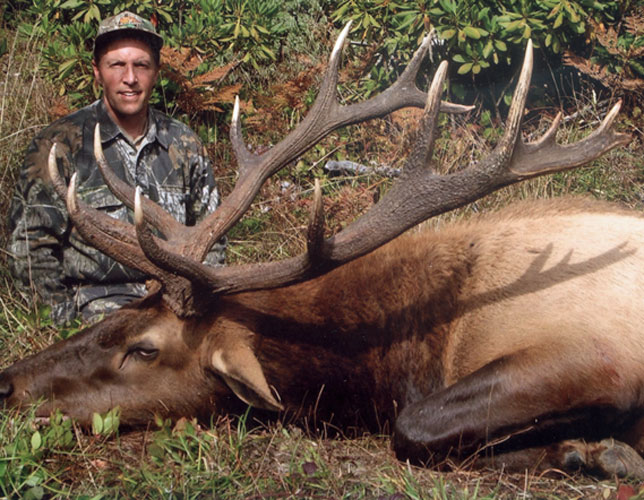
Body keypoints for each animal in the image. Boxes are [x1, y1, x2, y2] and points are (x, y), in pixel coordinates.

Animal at [0, 25, 636, 478]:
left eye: (145, 349)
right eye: (126, 310)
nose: (6, 383)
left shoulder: (596, 353)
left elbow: (412, 429)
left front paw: (593, 452)